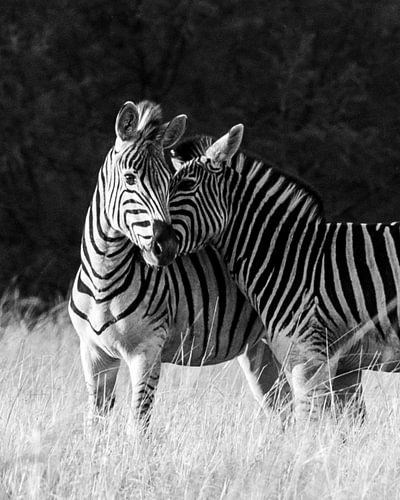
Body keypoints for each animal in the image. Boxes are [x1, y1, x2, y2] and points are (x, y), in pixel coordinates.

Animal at [70, 103, 290, 432]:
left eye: (168, 183)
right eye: (130, 178)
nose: (167, 247)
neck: (103, 276)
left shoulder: (147, 352)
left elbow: (138, 426)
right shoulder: (94, 355)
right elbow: (95, 424)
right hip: (261, 350)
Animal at [170, 126, 400, 422]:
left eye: (187, 185)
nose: (152, 241)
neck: (292, 257)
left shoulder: (309, 358)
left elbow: (310, 422)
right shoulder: (337, 362)